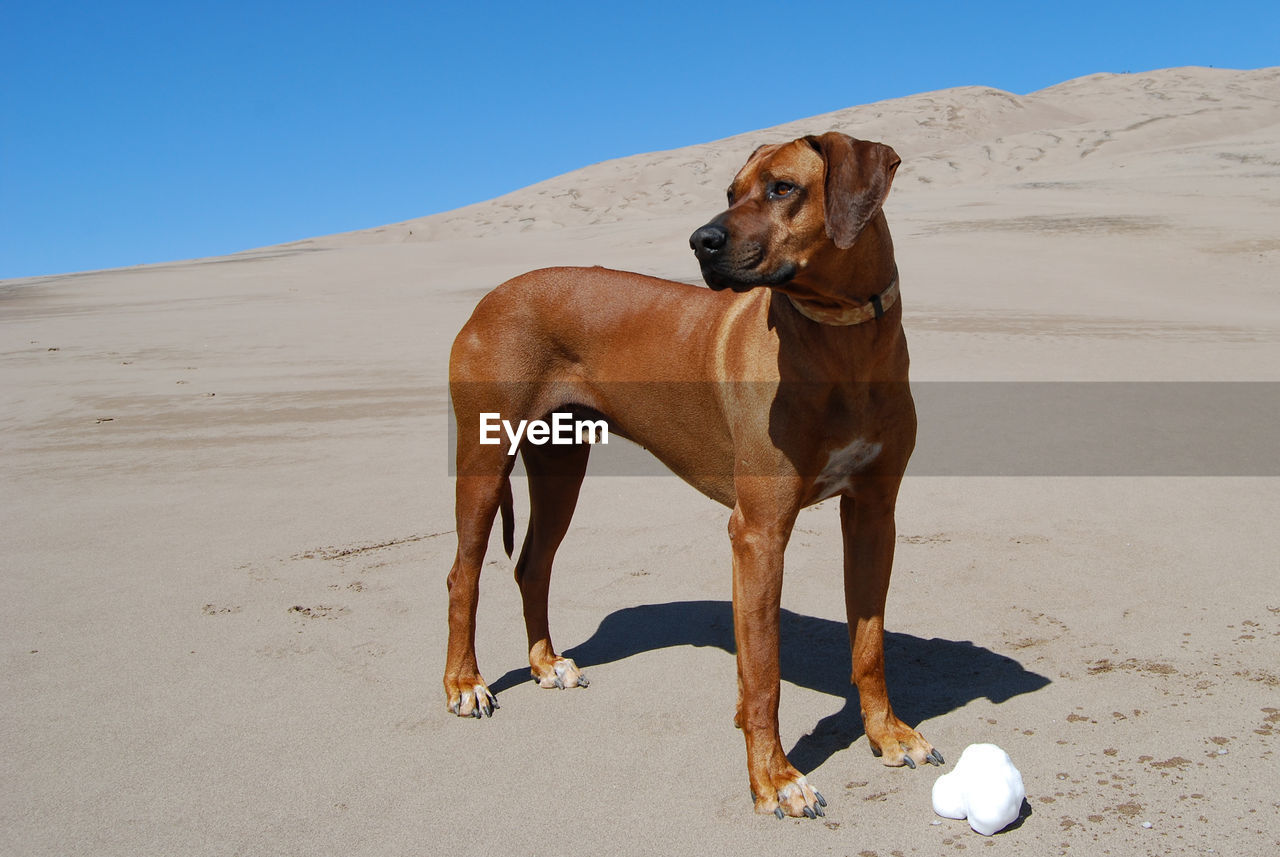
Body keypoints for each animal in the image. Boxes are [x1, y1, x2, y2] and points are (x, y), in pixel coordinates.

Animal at [448, 132, 942, 818]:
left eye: (783, 188)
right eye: (730, 193)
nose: (700, 240)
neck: (841, 340)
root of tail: (490, 296)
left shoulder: (874, 514)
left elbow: (869, 644)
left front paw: (886, 733)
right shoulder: (759, 531)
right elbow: (763, 674)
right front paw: (775, 778)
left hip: (561, 465)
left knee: (532, 565)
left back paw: (545, 663)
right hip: (485, 460)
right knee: (462, 575)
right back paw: (465, 683)